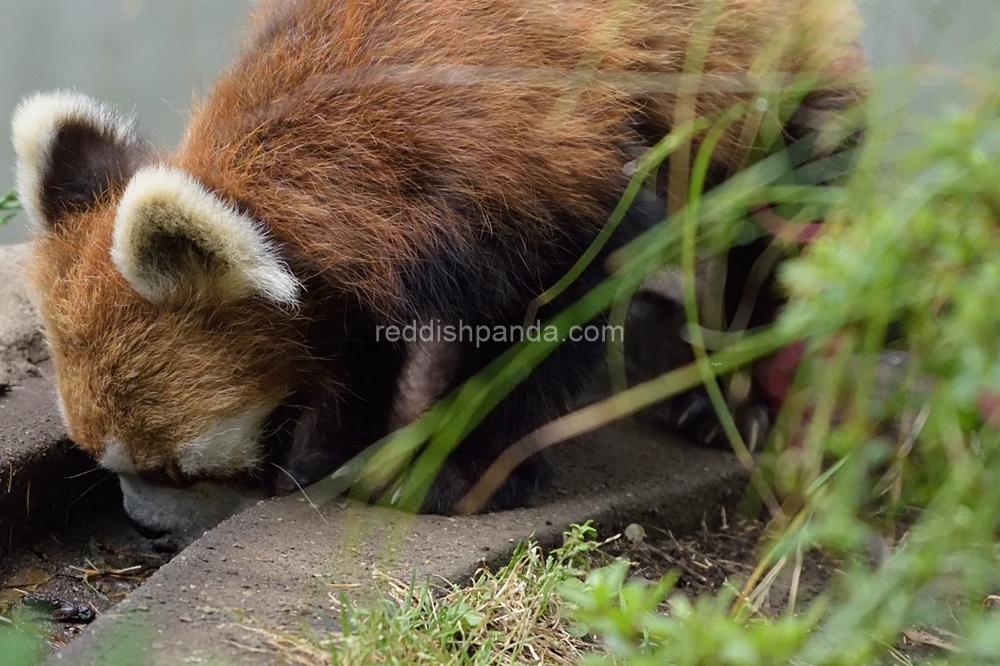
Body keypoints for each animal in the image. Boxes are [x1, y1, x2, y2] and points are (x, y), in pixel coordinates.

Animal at [11, 0, 864, 536]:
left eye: (176, 469)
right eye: (102, 459)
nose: (148, 531)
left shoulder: (534, 171)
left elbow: (544, 315)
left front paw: (460, 471)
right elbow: (356, 339)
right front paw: (331, 449)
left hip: (769, 67)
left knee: (780, 203)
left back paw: (740, 391)